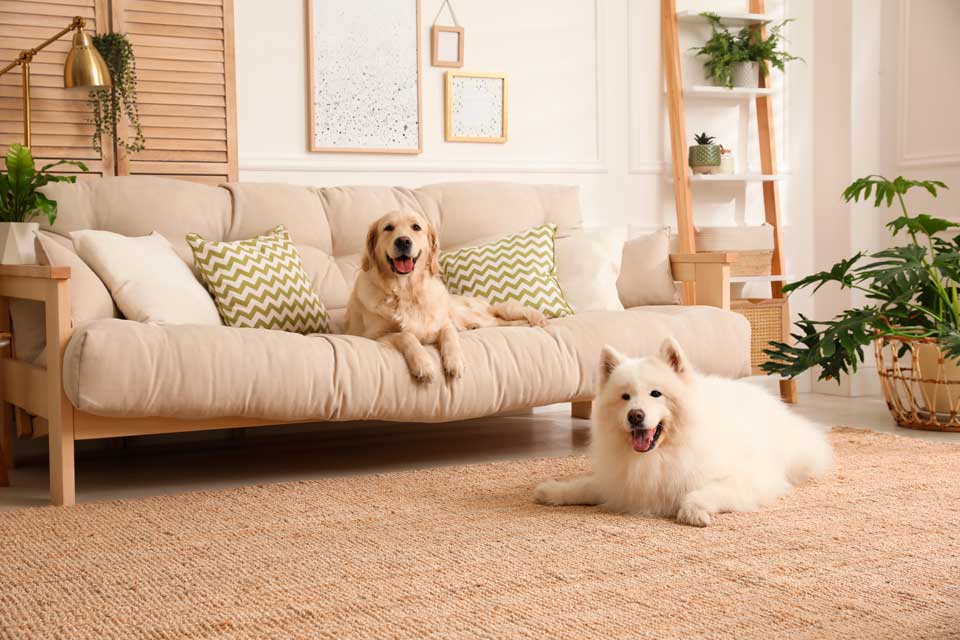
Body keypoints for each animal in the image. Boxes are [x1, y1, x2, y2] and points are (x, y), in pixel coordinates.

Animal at [532, 338, 832, 528]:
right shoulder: (620, 483)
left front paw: (693, 511)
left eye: (656, 394)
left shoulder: (748, 480)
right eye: (625, 397)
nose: (635, 415)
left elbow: (703, 492)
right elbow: (585, 486)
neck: (659, 455)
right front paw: (552, 491)